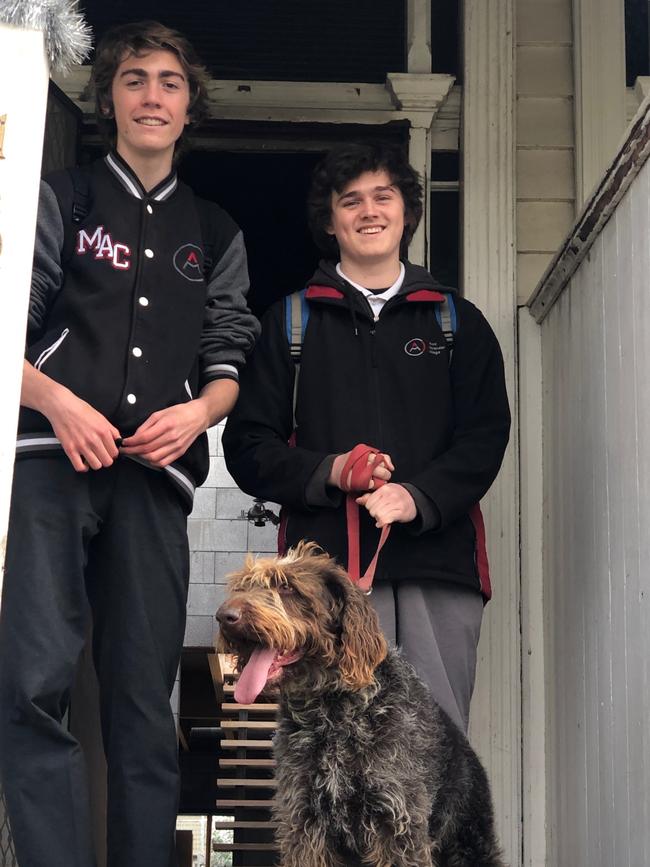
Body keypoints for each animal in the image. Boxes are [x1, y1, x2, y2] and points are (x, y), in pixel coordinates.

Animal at [215, 544, 504, 867]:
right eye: (243, 585)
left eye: (287, 587)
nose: (224, 616)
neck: (331, 712)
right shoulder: (306, 822)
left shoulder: (396, 823)